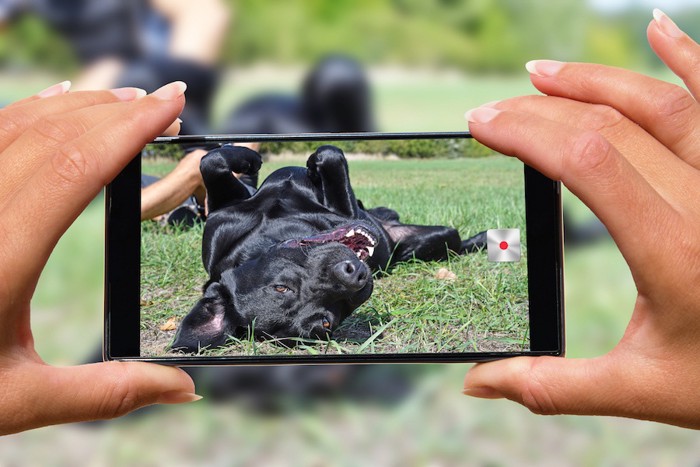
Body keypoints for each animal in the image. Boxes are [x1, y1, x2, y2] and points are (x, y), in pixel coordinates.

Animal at [172, 144, 484, 352]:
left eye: (281, 287)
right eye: (325, 323)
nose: (354, 275)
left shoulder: (222, 216)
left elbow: (210, 161)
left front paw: (250, 159)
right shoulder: (347, 214)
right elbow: (332, 158)